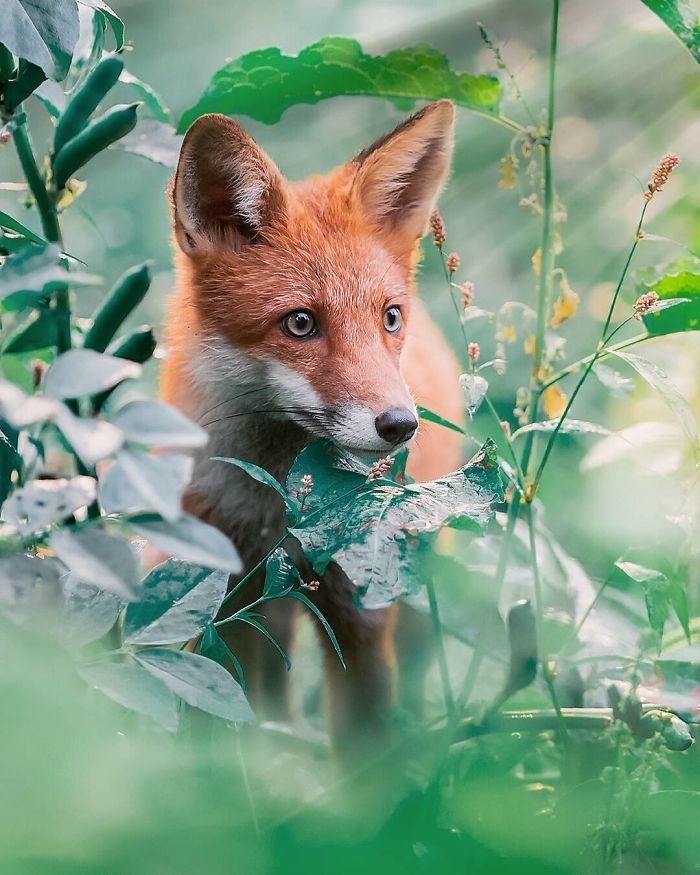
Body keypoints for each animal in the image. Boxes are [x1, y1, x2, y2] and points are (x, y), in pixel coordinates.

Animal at [161, 94, 462, 752]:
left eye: (389, 318)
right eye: (300, 323)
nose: (400, 426)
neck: (279, 513)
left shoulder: (358, 608)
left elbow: (366, 744)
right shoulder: (224, 607)